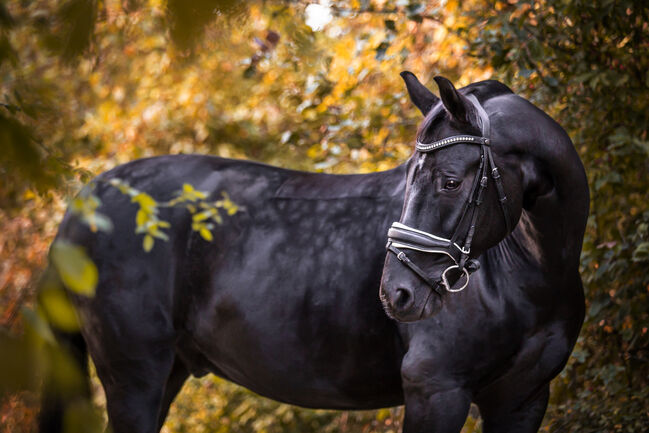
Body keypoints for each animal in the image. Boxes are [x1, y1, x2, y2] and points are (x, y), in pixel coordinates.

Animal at [40, 72, 588, 430]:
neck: (531, 271)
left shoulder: (522, 399)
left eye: (450, 180)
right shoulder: (437, 389)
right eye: (411, 177)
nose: (397, 294)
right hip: (135, 376)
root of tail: (82, 204)